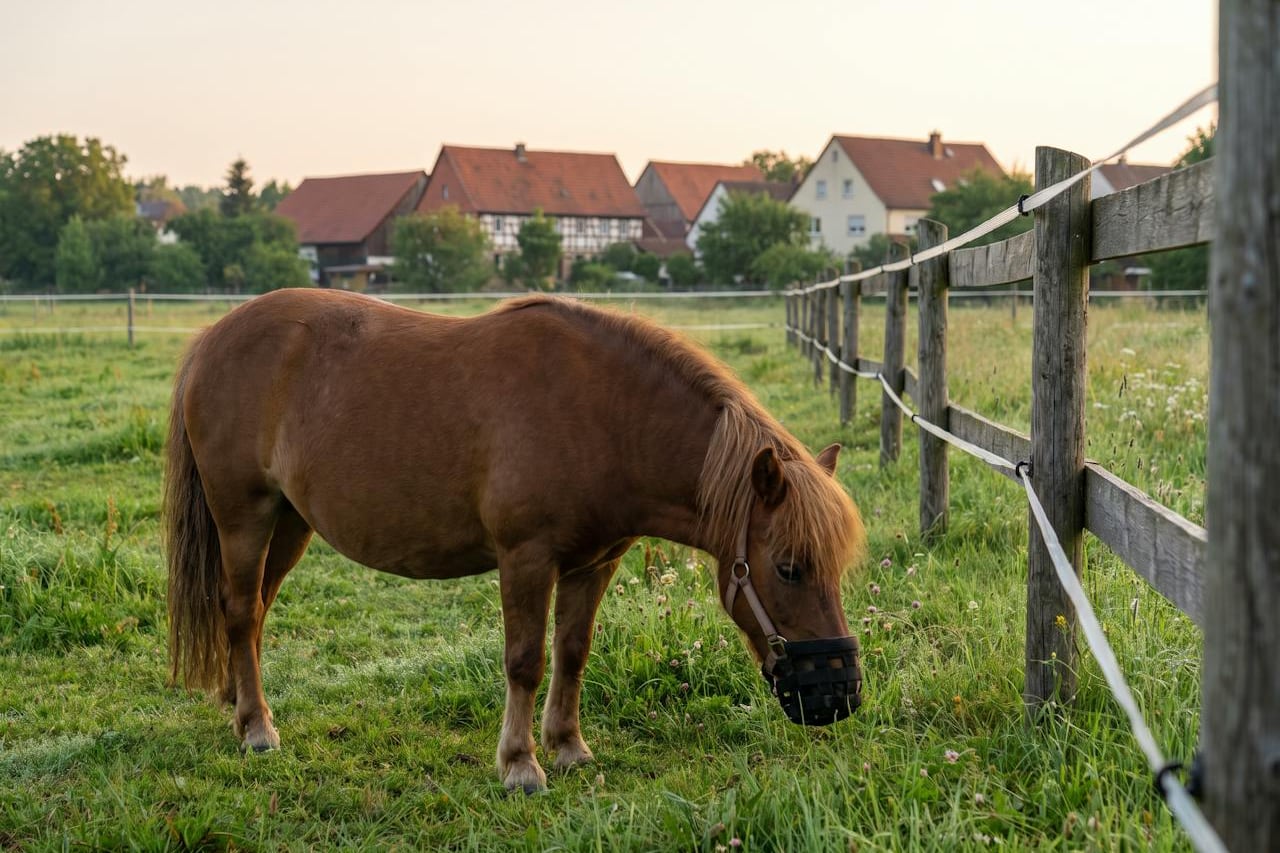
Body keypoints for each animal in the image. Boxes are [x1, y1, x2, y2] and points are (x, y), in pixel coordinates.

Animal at [164, 289, 867, 792]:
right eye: (789, 567)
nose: (840, 695)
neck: (604, 414)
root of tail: (211, 340)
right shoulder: (527, 558)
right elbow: (526, 661)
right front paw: (521, 764)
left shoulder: (594, 564)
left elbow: (573, 653)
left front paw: (569, 748)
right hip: (245, 518)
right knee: (240, 609)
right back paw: (257, 729)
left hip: (290, 524)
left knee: (254, 612)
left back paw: (239, 705)